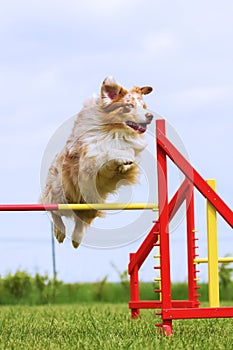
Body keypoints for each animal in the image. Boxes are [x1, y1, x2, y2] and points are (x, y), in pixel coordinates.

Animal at [40, 77, 153, 246]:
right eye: (129, 106)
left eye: (144, 106)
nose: (150, 116)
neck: (115, 131)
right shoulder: (88, 160)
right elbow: (107, 152)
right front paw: (121, 158)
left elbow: (129, 155)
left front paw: (125, 164)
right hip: (61, 195)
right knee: (54, 210)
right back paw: (60, 233)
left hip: (92, 204)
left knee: (80, 222)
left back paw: (76, 238)